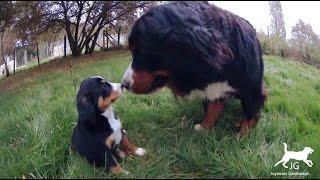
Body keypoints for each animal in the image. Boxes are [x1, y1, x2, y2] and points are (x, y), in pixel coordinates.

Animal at [121, 1, 266, 137]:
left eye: (141, 52)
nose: (124, 84)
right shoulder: (211, 87)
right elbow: (213, 106)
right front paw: (205, 126)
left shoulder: (252, 88)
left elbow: (250, 114)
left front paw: (242, 136)